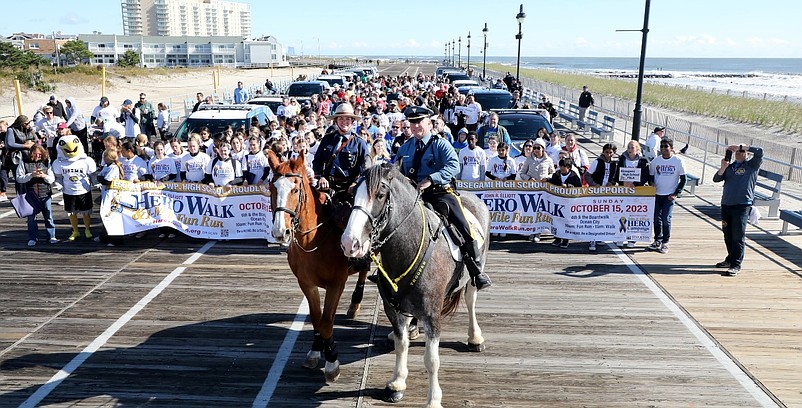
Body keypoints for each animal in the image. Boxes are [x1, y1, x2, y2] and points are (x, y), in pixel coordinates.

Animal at [268, 151, 368, 382]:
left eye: (295, 189)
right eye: (271, 188)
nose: (280, 232)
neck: (313, 238)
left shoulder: (336, 285)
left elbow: (327, 321)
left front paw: (331, 362)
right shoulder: (306, 283)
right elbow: (316, 318)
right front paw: (315, 351)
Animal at [340, 164, 488, 406]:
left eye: (380, 195)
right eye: (353, 194)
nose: (349, 243)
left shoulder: (432, 314)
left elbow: (432, 359)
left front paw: (433, 399)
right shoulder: (393, 309)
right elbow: (401, 345)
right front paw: (397, 383)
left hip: (476, 272)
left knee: (470, 300)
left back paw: (475, 338)